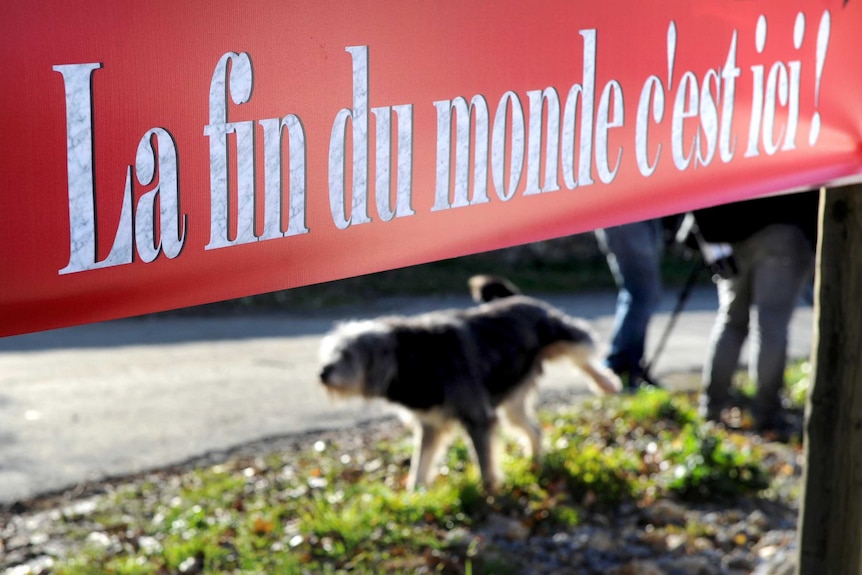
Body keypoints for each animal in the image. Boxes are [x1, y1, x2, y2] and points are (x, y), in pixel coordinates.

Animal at [318, 280, 620, 490]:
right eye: (330, 352)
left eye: (346, 354)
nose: (322, 373)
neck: (412, 358)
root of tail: (515, 297)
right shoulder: (431, 424)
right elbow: (420, 462)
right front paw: (414, 494)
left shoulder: (478, 417)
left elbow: (484, 460)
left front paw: (490, 493)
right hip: (513, 398)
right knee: (533, 429)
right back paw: (535, 461)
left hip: (561, 335)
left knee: (583, 352)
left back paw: (606, 382)